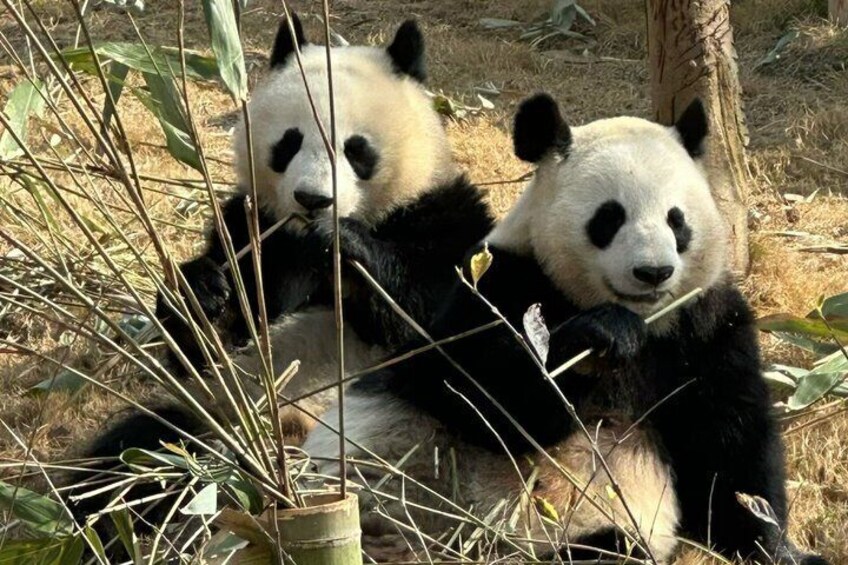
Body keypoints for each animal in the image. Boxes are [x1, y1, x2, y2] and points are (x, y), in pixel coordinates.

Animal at [155, 13, 494, 423]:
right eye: (289, 142)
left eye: (355, 149)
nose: (312, 199)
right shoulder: (253, 231)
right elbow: (204, 356)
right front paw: (202, 290)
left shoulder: (446, 219)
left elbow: (447, 328)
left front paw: (346, 243)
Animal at [301, 94, 828, 564]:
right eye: (609, 218)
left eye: (677, 221)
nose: (653, 272)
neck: (645, 322)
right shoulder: (499, 282)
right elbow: (480, 399)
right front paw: (597, 339)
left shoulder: (707, 325)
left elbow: (730, 446)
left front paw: (778, 548)